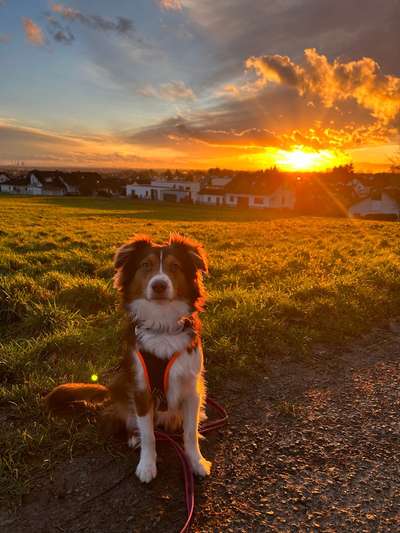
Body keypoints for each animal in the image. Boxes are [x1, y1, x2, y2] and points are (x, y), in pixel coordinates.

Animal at [45, 233, 211, 482]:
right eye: (145, 266)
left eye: (175, 266)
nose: (159, 285)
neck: (162, 327)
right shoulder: (142, 390)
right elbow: (149, 435)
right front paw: (147, 465)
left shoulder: (192, 388)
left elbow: (190, 433)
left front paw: (197, 461)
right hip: (123, 385)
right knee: (132, 423)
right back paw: (135, 436)